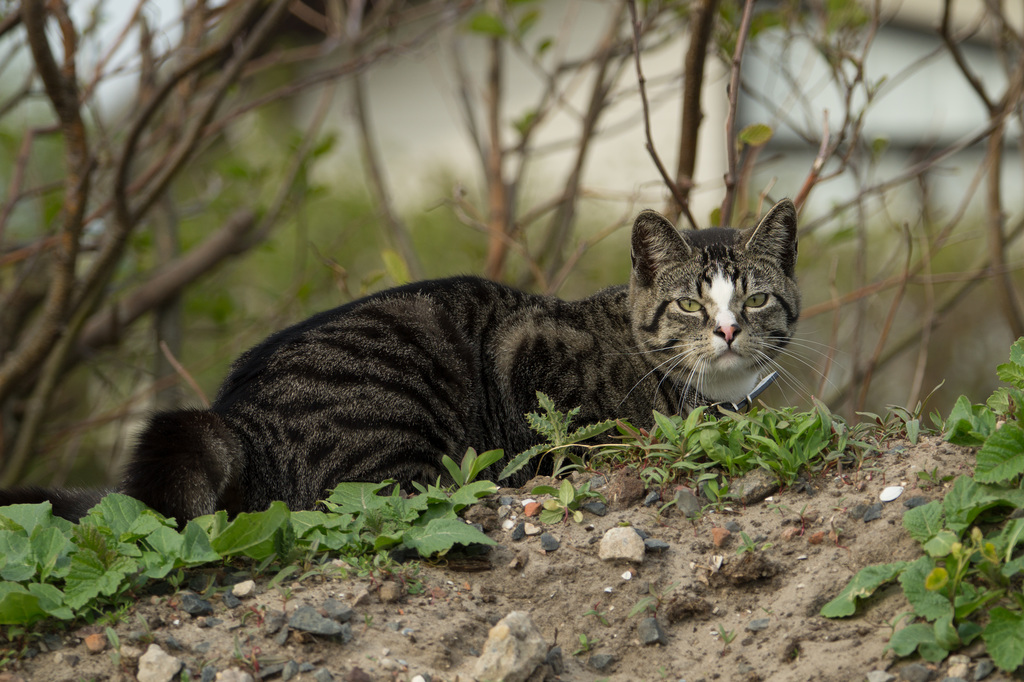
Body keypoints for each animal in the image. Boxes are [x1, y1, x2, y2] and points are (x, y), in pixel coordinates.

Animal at [0, 196, 798, 520]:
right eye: (690, 307)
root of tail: (237, 420)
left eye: (755, 300)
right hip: (396, 434)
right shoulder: (527, 352)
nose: (728, 331)